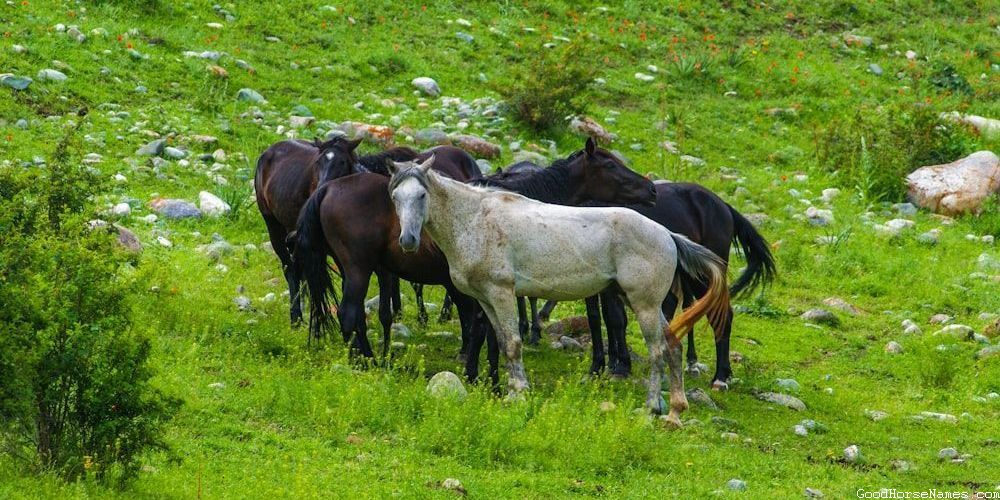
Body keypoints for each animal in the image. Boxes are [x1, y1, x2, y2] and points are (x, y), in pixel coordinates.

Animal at [254, 136, 417, 325]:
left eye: (343, 162)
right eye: (318, 162)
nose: (322, 187)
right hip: (274, 227)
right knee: (291, 270)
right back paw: (296, 317)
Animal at [388, 155, 730, 425]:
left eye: (422, 195)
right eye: (395, 197)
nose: (408, 241)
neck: (474, 219)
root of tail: (668, 235)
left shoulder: (501, 293)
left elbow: (512, 344)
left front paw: (519, 394)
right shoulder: (486, 300)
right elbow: (499, 341)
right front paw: (509, 390)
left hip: (643, 304)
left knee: (658, 351)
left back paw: (652, 408)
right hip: (647, 304)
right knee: (673, 346)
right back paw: (675, 409)